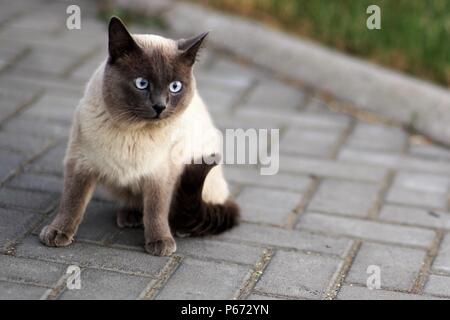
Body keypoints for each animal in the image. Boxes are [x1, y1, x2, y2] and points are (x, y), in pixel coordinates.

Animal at [39, 17, 239, 258]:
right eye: (141, 83)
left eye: (175, 87)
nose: (160, 106)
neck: (134, 131)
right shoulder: (80, 163)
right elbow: (72, 201)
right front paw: (57, 233)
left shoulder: (161, 173)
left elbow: (156, 209)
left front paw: (160, 242)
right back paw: (131, 217)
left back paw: (179, 230)